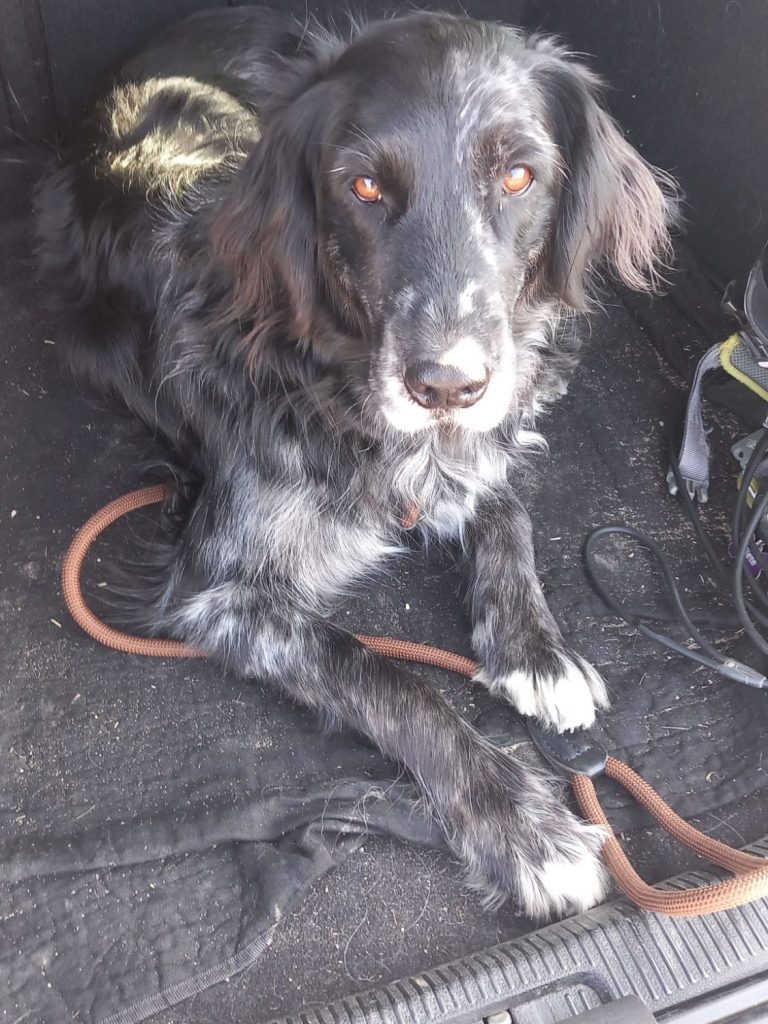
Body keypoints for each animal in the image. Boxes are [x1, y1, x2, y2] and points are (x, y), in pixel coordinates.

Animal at [35, 6, 676, 919]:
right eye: (364, 189)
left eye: (519, 177)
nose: (447, 384)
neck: (329, 378)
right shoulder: (219, 592)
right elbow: (389, 677)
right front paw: (521, 823)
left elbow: (505, 509)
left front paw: (535, 651)